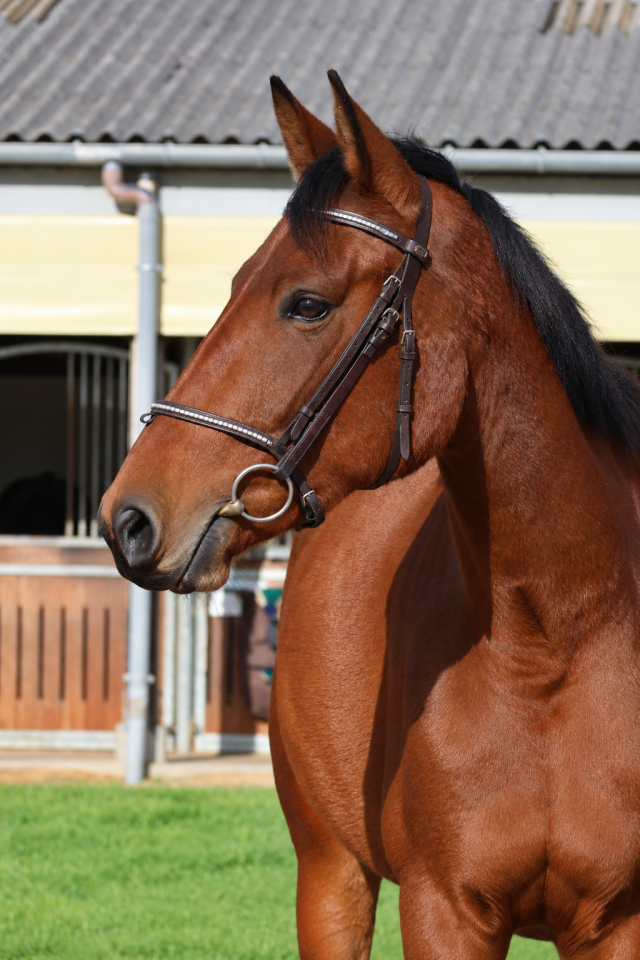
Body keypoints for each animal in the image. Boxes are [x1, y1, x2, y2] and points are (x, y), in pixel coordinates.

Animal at [99, 71, 640, 959]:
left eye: (307, 305)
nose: (129, 519)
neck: (558, 641)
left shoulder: (614, 922)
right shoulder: (443, 911)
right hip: (329, 874)